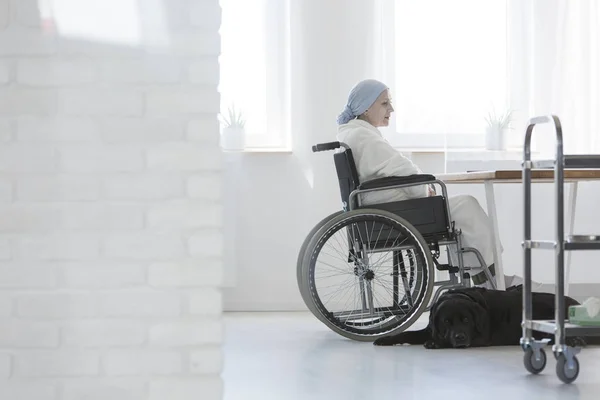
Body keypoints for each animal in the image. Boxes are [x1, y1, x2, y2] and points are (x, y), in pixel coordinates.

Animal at [376, 286, 596, 348]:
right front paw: (385, 339)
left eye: (466, 320)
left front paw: (435, 344)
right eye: (446, 322)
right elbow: (407, 334)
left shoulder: (482, 337)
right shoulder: (431, 329)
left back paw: (576, 340)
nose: (460, 337)